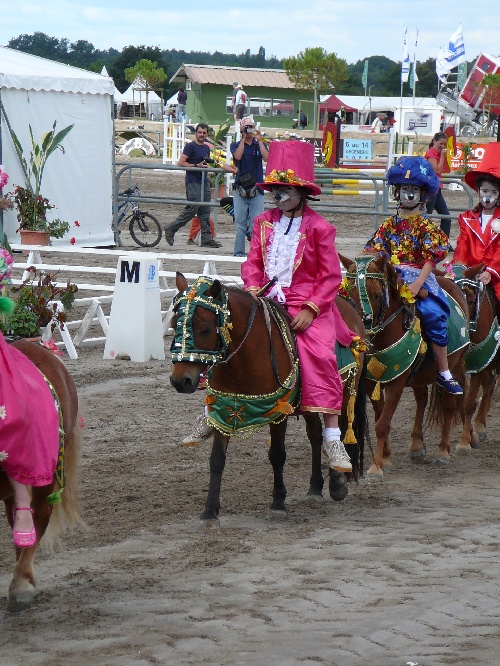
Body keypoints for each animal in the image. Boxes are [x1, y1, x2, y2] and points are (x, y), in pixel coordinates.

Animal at [170, 272, 366, 520]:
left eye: (205, 329)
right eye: (174, 325)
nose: (180, 380)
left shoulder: (278, 409)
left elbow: (277, 454)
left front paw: (278, 501)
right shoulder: (224, 407)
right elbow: (216, 459)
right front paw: (209, 511)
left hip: (343, 389)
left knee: (337, 425)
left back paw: (338, 478)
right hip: (308, 403)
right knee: (314, 434)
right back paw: (315, 486)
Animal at [340, 254, 468, 478]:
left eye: (377, 295)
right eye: (351, 294)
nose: (362, 332)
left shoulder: (397, 383)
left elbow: (382, 424)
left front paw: (376, 466)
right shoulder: (372, 383)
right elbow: (379, 416)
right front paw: (386, 456)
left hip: (455, 363)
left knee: (448, 405)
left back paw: (443, 451)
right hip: (419, 375)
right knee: (422, 399)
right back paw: (416, 445)